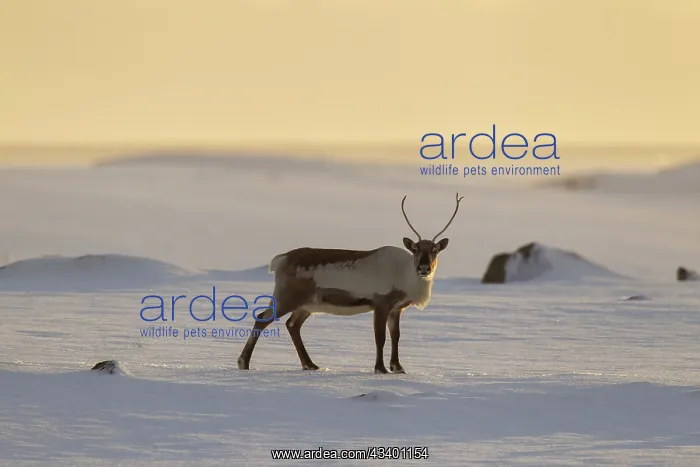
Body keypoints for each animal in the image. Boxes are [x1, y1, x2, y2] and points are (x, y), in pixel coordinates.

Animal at [236, 192, 463, 374]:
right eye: (415, 249)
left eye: (435, 250)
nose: (424, 268)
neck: (406, 276)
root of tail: (280, 259)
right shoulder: (381, 304)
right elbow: (380, 337)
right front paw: (380, 368)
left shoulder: (397, 308)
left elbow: (396, 336)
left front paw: (398, 368)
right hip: (287, 296)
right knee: (262, 318)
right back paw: (243, 362)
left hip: (308, 303)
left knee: (292, 325)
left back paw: (310, 364)